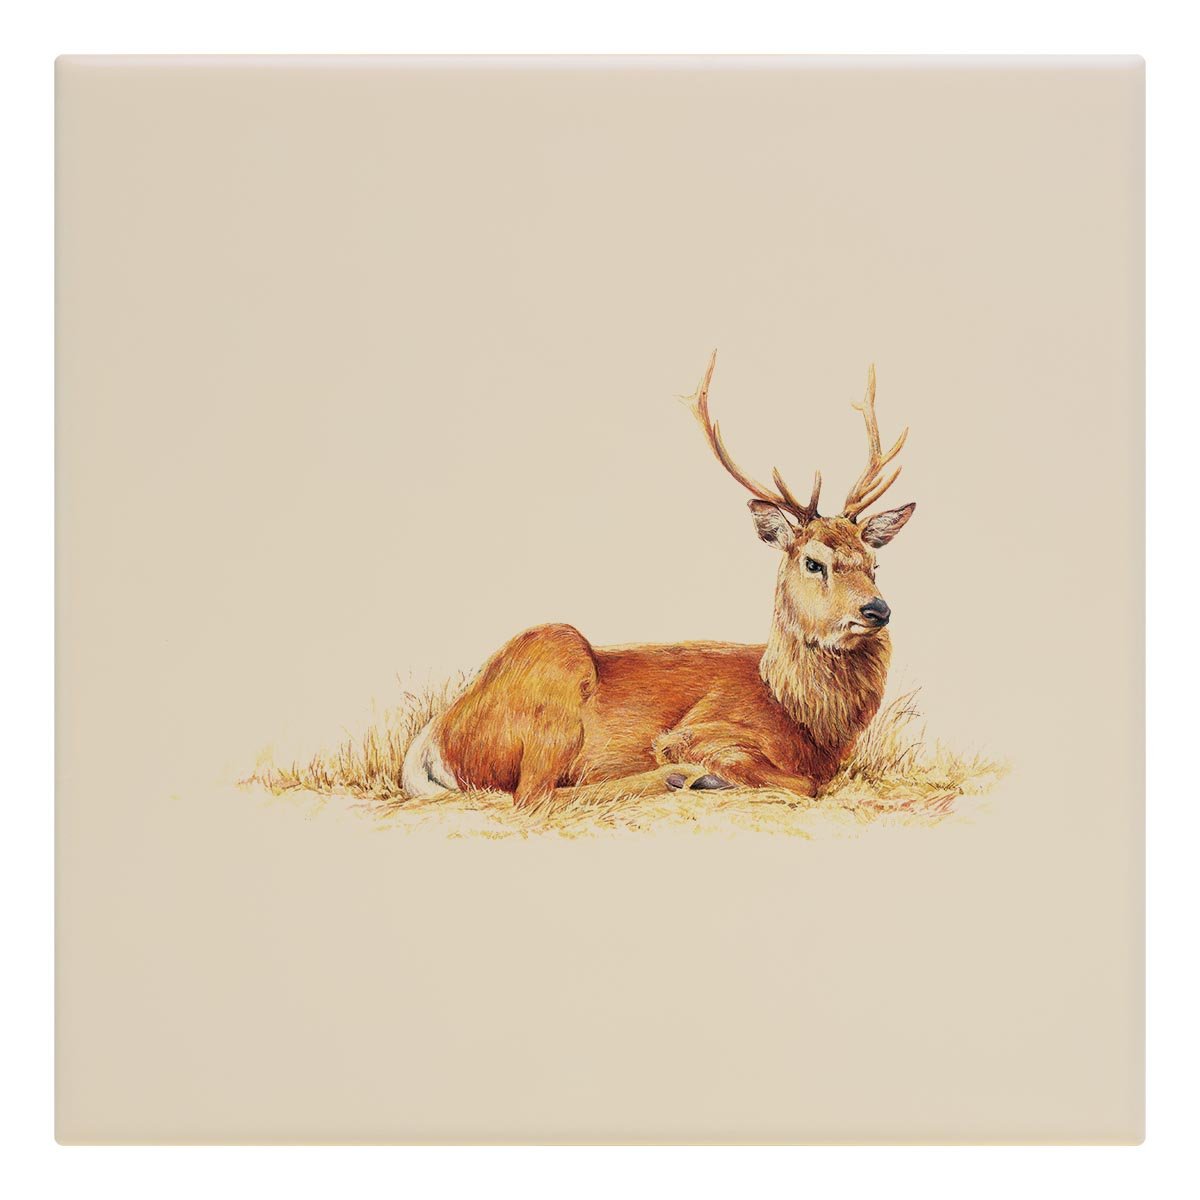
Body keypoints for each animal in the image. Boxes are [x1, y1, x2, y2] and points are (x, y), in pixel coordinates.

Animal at [402, 352, 916, 808]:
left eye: (873, 563)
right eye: (813, 562)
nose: (878, 609)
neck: (799, 716)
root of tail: (437, 739)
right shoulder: (696, 732)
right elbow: (805, 785)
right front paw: (707, 776)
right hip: (555, 661)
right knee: (533, 797)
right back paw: (680, 778)